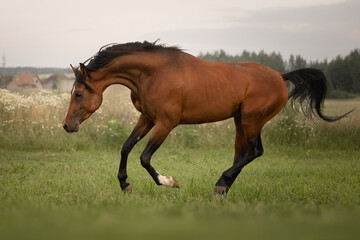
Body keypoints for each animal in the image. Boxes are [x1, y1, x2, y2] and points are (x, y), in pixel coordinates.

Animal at [62, 40, 352, 195]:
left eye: (78, 93)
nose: (66, 125)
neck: (153, 75)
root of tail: (281, 76)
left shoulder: (166, 123)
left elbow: (144, 157)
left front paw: (169, 182)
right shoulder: (147, 118)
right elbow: (125, 147)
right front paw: (125, 185)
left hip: (252, 120)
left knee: (254, 152)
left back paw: (221, 184)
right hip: (240, 122)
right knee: (242, 153)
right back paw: (223, 188)